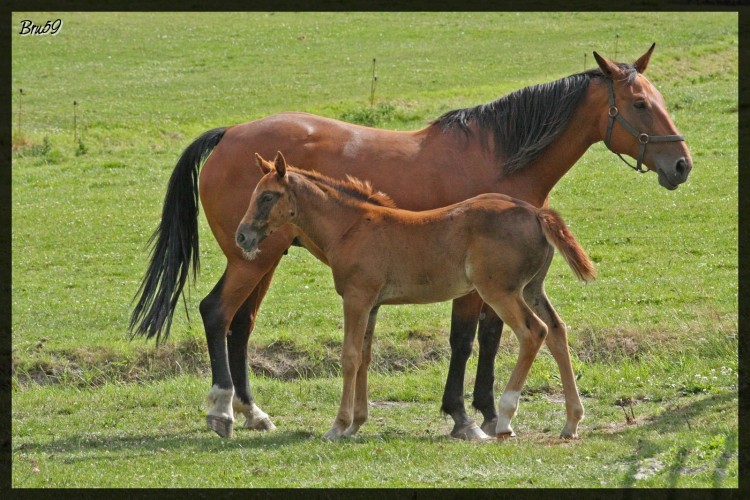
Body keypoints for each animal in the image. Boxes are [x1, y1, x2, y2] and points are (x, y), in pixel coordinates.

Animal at [238, 150, 596, 440]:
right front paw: (357, 424)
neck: (350, 226)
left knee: (534, 331)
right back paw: (571, 422)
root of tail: (535, 213)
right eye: (254, 193)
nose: (241, 236)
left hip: (499, 291)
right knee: (558, 331)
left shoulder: (356, 298)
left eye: (268, 196)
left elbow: (350, 356)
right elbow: (366, 357)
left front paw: (338, 426)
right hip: (532, 288)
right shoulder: (372, 305)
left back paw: (506, 418)